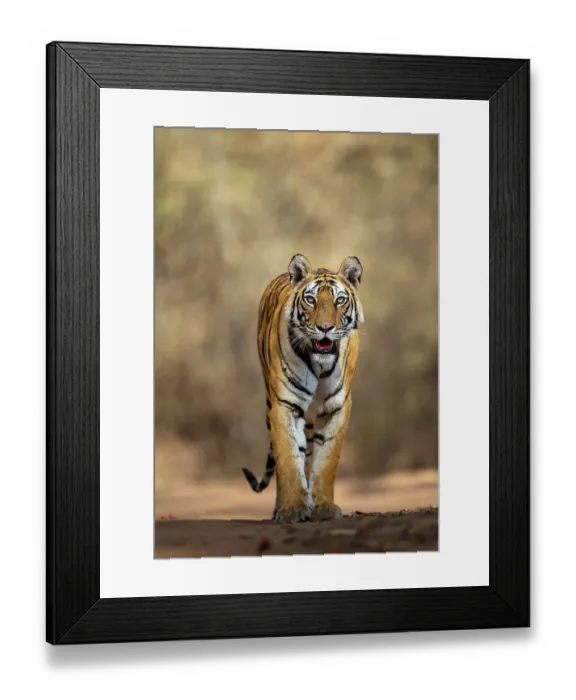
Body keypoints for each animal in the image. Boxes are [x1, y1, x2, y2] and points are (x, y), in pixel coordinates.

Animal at [242, 253, 364, 524]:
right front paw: (293, 509)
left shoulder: (337, 407)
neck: (320, 365)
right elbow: (288, 457)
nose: (326, 328)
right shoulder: (285, 405)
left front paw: (324, 506)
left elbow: (326, 460)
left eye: (340, 300)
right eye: (311, 299)